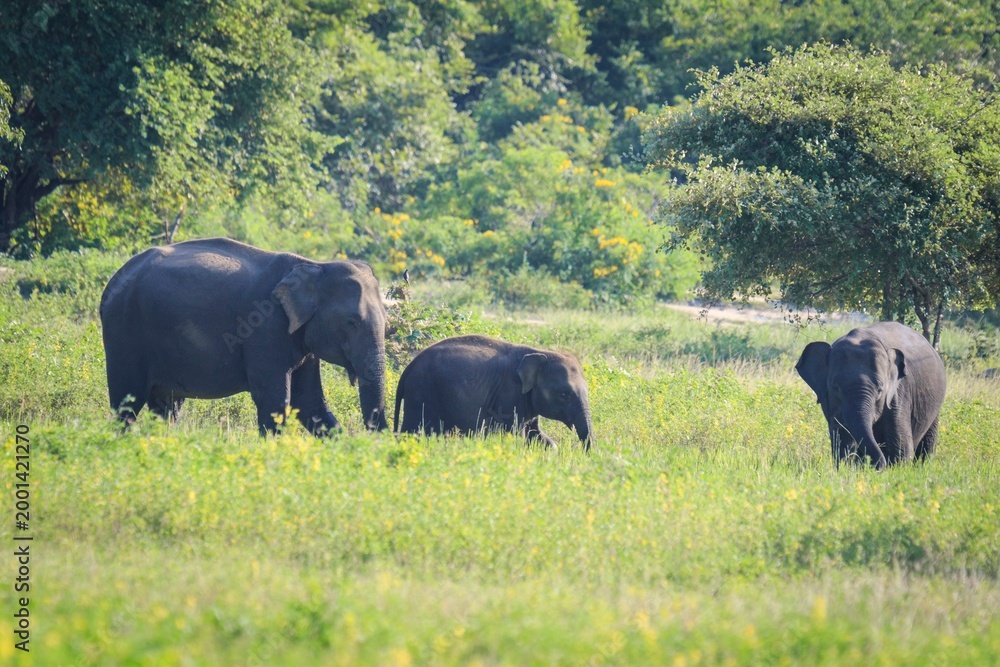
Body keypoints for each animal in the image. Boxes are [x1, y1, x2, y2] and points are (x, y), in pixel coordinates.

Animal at [100, 237, 389, 434]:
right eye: (351, 322)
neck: (315, 265)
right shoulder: (265, 330)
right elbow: (274, 401)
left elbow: (310, 402)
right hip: (125, 332)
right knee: (127, 401)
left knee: (164, 406)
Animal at [393, 335, 594, 450]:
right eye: (564, 394)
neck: (539, 353)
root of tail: (407, 370)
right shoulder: (509, 394)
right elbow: (515, 434)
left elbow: (536, 434)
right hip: (422, 393)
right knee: (413, 430)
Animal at [795, 322, 946, 469]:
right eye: (836, 388)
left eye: (880, 390)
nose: (875, 466)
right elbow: (841, 438)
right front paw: (847, 467)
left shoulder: (899, 394)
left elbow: (901, 447)